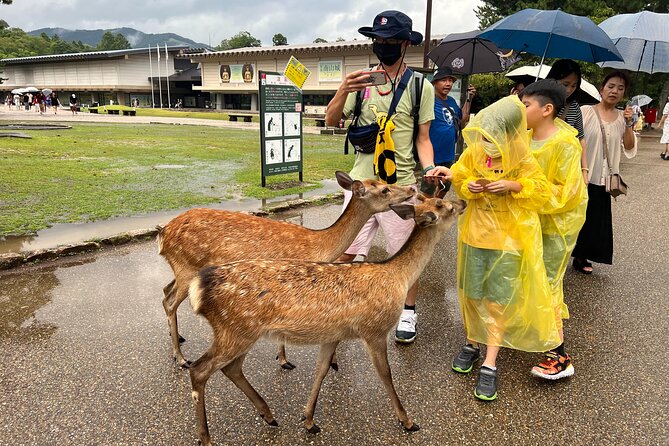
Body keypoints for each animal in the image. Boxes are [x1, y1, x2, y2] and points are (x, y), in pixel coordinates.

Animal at [159, 171, 414, 370]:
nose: (412, 188)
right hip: (187, 266)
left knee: (165, 291)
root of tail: (163, 234)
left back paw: (178, 337)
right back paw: (181, 359)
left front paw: (282, 358)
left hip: (180, 268)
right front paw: (284, 360)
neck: (318, 245)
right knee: (170, 301)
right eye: (385, 189)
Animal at [183, 197, 464, 444]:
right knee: (199, 369)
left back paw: (269, 415)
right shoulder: (374, 328)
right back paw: (206, 437)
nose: (462, 202)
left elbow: (321, 369)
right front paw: (408, 421)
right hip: (235, 330)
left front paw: (308, 420)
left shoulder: (334, 335)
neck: (398, 276)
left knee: (231, 368)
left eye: (435, 200)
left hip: (241, 331)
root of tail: (199, 289)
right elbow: (385, 374)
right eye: (445, 206)